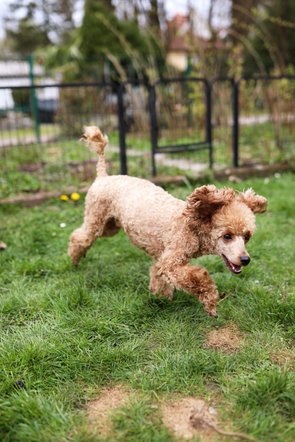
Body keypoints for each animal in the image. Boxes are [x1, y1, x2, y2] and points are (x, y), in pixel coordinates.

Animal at [69, 128, 268, 318]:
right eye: (227, 236)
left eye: (247, 237)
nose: (246, 260)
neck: (191, 225)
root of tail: (103, 175)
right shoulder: (171, 260)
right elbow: (197, 278)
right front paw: (211, 304)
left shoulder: (163, 258)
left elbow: (158, 273)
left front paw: (160, 296)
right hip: (96, 219)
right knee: (80, 237)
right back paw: (74, 259)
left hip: (110, 226)